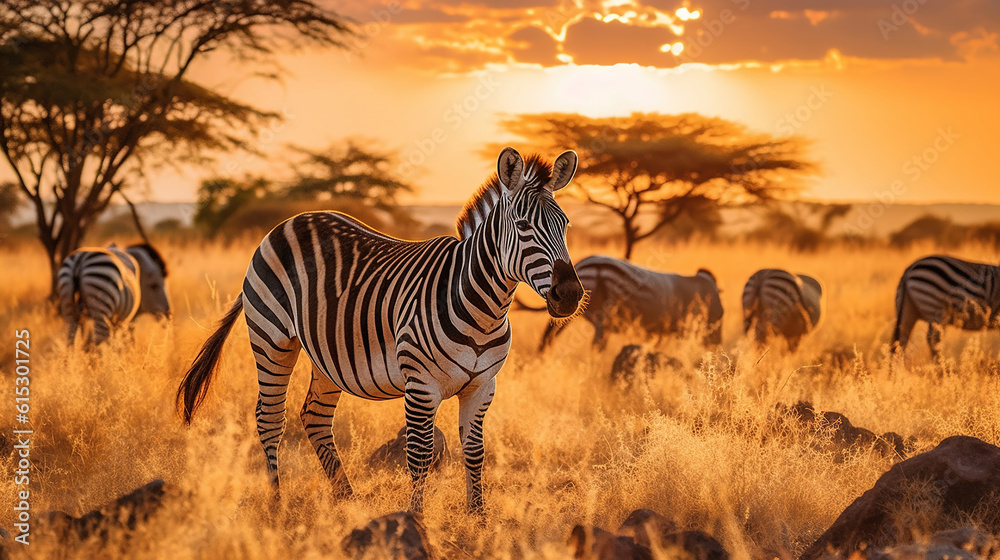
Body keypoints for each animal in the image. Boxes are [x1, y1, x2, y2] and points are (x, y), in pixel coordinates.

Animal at [176, 148, 584, 514]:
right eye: (523, 226)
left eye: (565, 224)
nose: (569, 295)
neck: (483, 309)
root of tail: (290, 221)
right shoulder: (420, 385)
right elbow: (419, 454)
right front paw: (416, 521)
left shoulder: (482, 386)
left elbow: (475, 451)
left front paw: (479, 520)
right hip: (272, 339)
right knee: (270, 417)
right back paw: (278, 506)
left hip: (326, 355)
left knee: (315, 417)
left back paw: (346, 500)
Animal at [533, 255, 724, 351]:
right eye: (721, 315)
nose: (716, 346)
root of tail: (584, 263)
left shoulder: (664, 331)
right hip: (601, 317)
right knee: (595, 346)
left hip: (575, 309)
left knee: (551, 334)